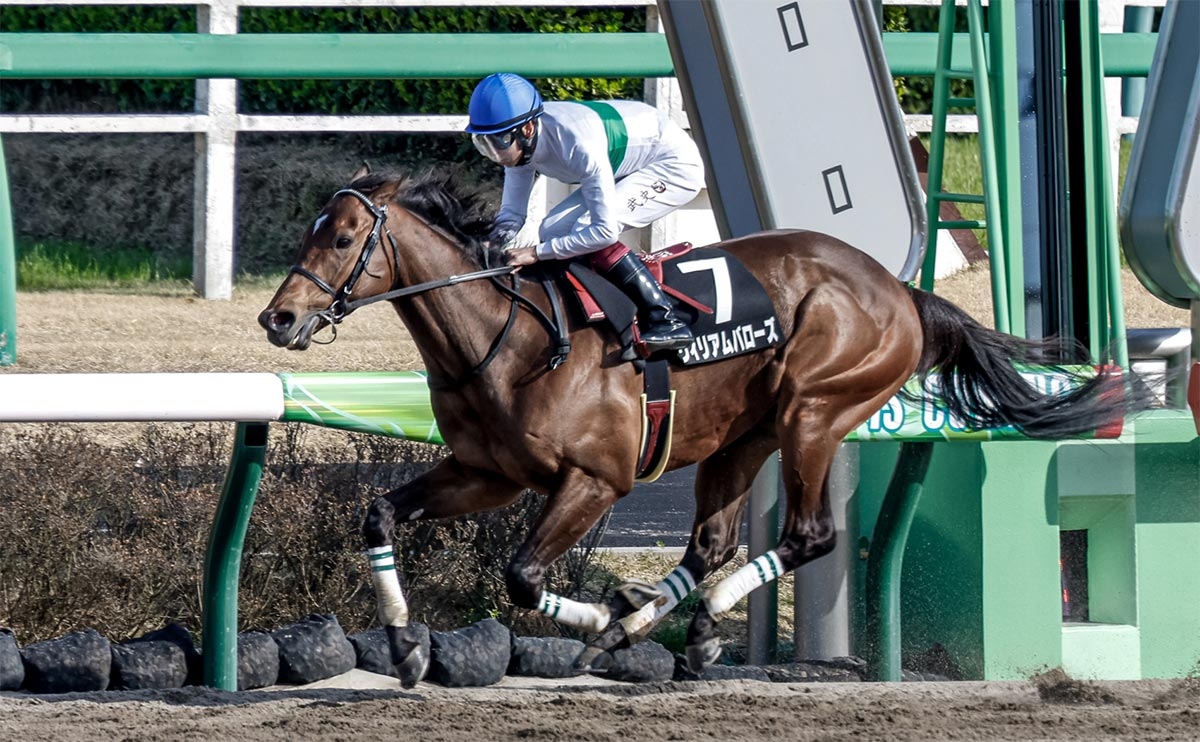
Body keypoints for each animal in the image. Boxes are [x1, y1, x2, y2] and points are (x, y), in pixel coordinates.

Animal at [258, 165, 1128, 681]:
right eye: (308, 232)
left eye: (343, 237)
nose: (278, 318)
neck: (508, 339)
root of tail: (901, 291)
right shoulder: (485, 473)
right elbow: (379, 512)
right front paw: (406, 644)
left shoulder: (596, 481)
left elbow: (523, 574)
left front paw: (597, 619)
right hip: (741, 436)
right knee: (711, 542)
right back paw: (677, 624)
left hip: (814, 410)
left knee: (811, 533)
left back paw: (654, 622)